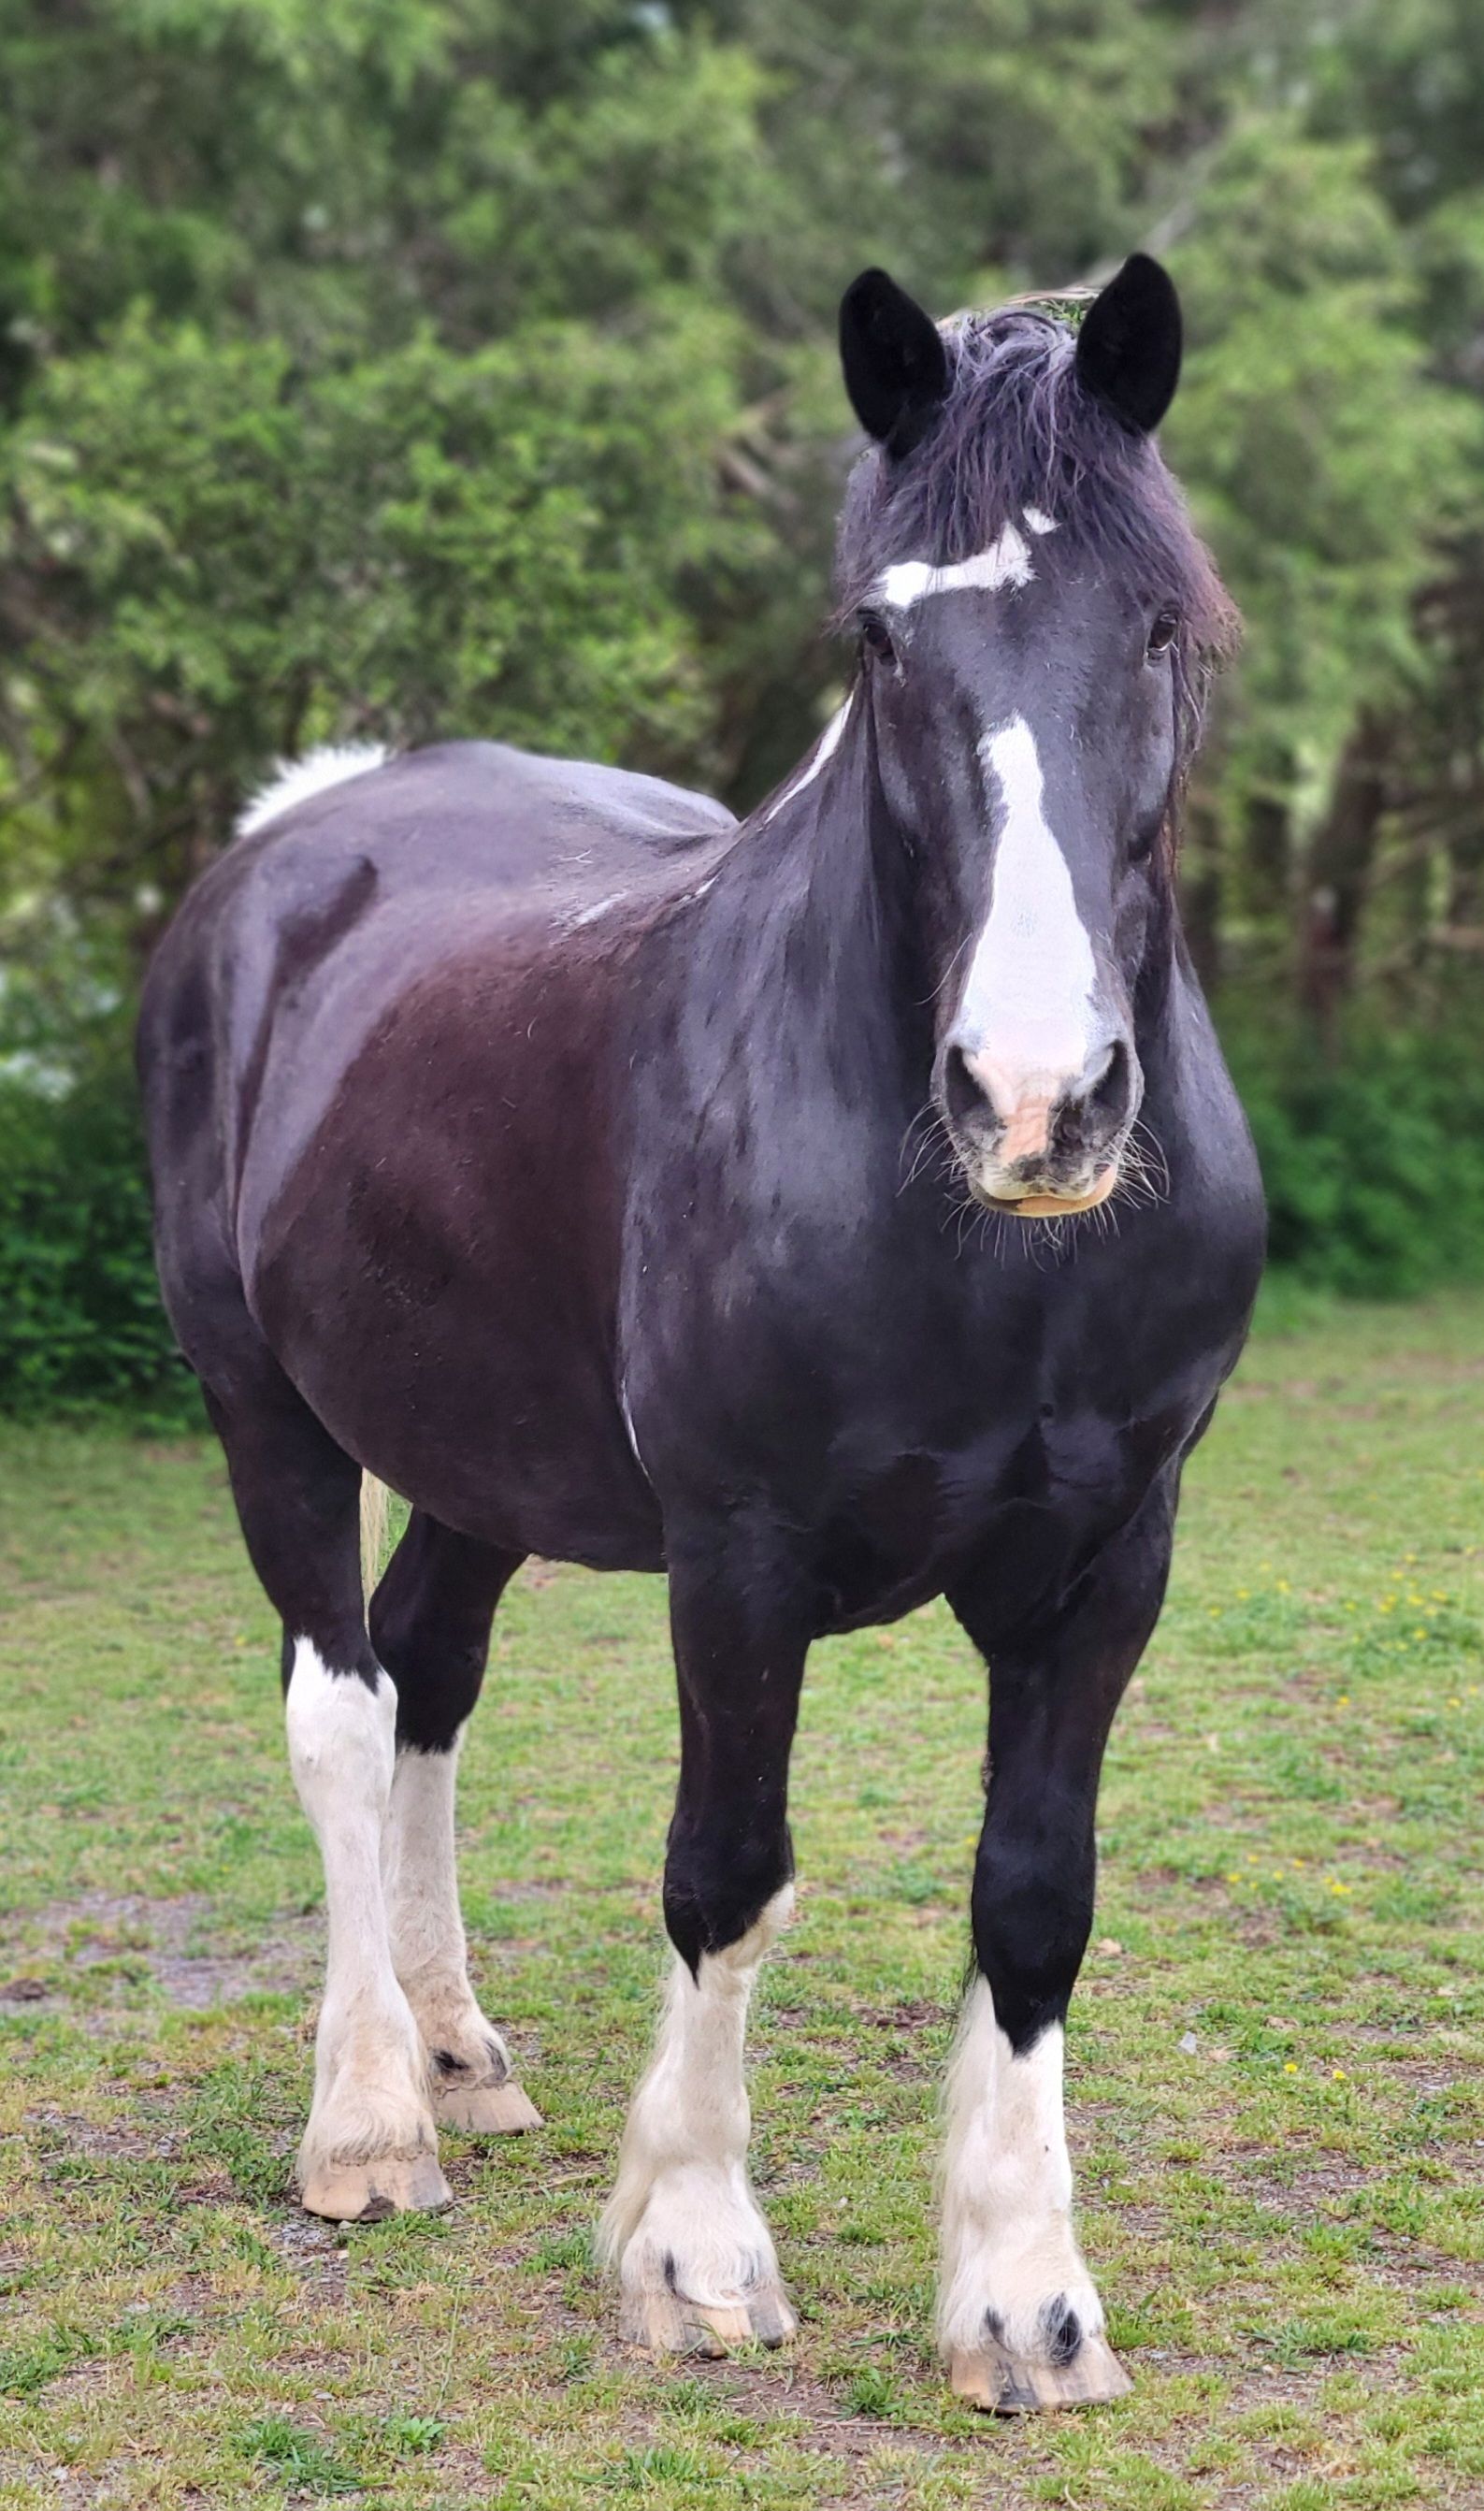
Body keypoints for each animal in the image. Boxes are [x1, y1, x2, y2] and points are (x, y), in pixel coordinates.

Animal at [138, 251, 1264, 2414]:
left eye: (1157, 622)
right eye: (879, 641)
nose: (1033, 1098)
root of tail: (298, 836)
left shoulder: (1112, 1559)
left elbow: (1034, 1897)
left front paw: (1023, 2299)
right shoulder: (737, 1561)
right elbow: (726, 1872)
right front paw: (690, 2253)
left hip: (480, 1454)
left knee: (427, 1674)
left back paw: (455, 2052)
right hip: (267, 1413)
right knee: (343, 1703)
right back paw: (368, 2120)